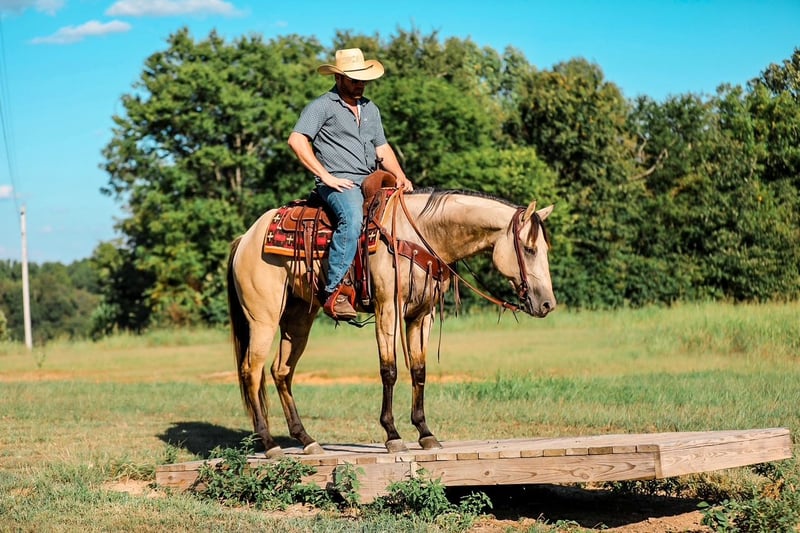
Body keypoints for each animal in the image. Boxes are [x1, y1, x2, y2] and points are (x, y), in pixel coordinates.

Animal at [226, 188, 556, 457]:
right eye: (529, 249)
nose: (547, 304)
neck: (418, 235)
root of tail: (246, 238)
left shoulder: (422, 315)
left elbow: (419, 370)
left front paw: (425, 433)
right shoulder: (388, 308)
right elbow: (390, 370)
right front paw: (393, 435)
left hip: (298, 318)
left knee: (281, 371)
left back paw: (306, 439)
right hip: (263, 318)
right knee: (252, 371)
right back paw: (269, 443)